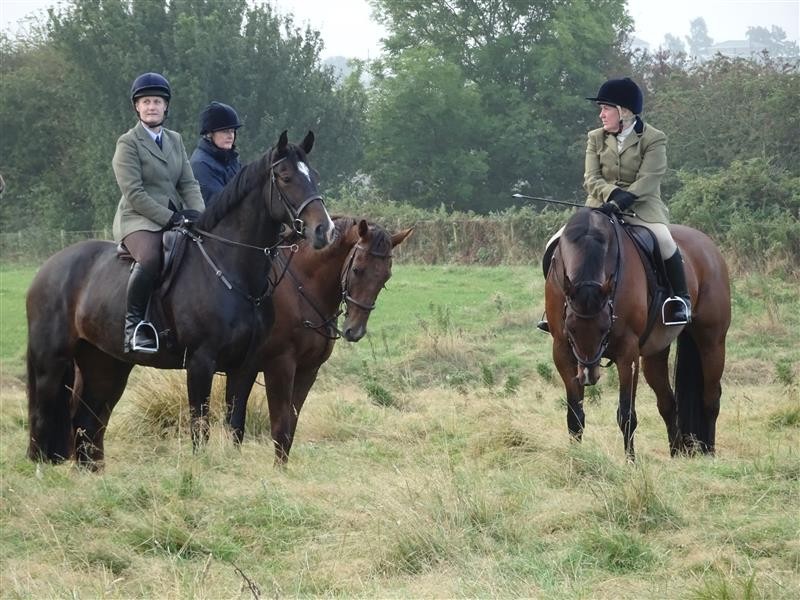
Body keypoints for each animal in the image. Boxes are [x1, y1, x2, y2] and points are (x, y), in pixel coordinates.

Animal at [26, 130, 335, 469]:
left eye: (315, 176)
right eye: (286, 177)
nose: (325, 231)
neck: (230, 266)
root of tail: (47, 268)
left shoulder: (245, 364)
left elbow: (235, 424)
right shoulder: (200, 362)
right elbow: (199, 426)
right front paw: (201, 468)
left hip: (105, 362)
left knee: (86, 420)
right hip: (51, 362)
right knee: (43, 418)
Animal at [223, 216, 412, 463]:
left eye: (386, 277)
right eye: (357, 269)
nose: (355, 331)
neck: (300, 288)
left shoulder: (306, 370)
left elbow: (279, 428)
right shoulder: (278, 367)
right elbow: (277, 428)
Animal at [544, 208, 731, 460]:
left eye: (605, 328)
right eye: (571, 328)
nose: (588, 376)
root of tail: (708, 244)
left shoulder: (628, 353)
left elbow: (626, 414)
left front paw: (630, 463)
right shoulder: (563, 351)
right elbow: (575, 416)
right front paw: (576, 460)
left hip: (712, 342)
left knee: (710, 398)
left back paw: (709, 453)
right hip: (655, 353)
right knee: (668, 403)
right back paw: (677, 455)